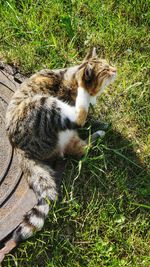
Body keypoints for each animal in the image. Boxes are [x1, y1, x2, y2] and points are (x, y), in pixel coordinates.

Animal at [0, 47, 116, 262]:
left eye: (109, 64)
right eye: (105, 69)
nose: (115, 69)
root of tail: (18, 148)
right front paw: (84, 87)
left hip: (63, 131)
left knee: (81, 148)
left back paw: (101, 131)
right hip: (44, 104)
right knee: (78, 120)